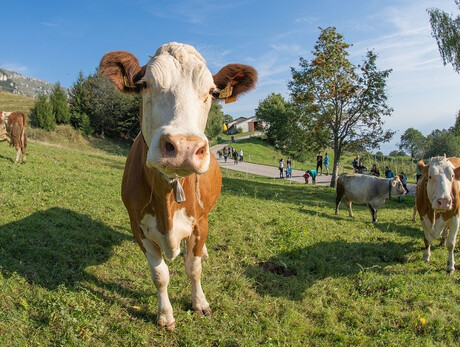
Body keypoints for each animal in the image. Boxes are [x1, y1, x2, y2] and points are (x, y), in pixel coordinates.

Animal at [99, 42, 256, 330]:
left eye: (212, 92)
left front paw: (200, 303)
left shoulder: (199, 223)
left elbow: (194, 268)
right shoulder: (138, 227)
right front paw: (165, 315)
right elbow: (159, 274)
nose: (184, 147)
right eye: (145, 84)